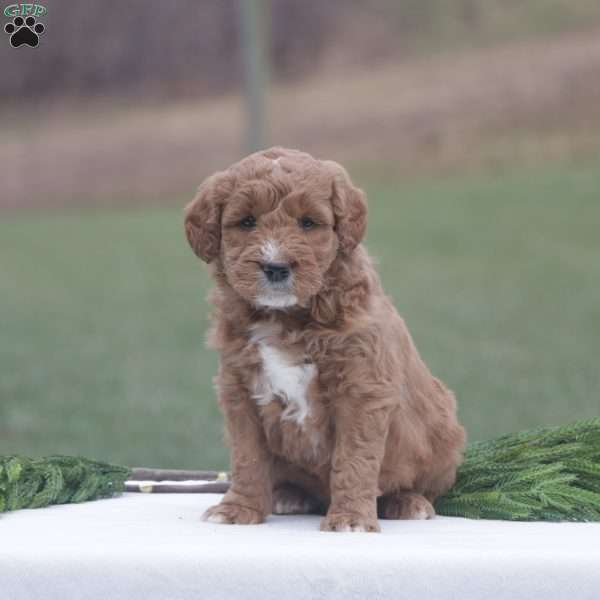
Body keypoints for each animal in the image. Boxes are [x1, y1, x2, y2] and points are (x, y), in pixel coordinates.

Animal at [185, 148, 466, 532]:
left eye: (308, 223)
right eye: (246, 221)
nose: (276, 267)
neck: (286, 316)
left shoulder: (362, 387)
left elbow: (354, 458)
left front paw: (350, 519)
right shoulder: (239, 388)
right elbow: (247, 457)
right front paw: (238, 508)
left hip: (442, 431)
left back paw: (407, 501)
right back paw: (289, 495)